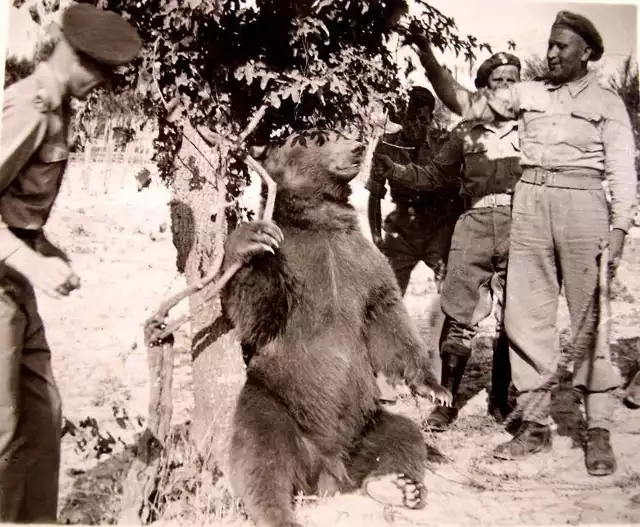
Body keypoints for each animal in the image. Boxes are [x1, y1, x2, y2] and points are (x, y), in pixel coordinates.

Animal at [222, 129, 452, 527]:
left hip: (367, 420)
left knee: (403, 435)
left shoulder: (361, 261)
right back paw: (278, 514)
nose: (359, 148)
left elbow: (387, 315)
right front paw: (251, 241)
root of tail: (327, 471)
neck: (320, 220)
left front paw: (436, 388)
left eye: (342, 134)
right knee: (260, 454)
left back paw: (399, 486)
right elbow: (257, 314)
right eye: (317, 139)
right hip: (272, 398)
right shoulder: (294, 262)